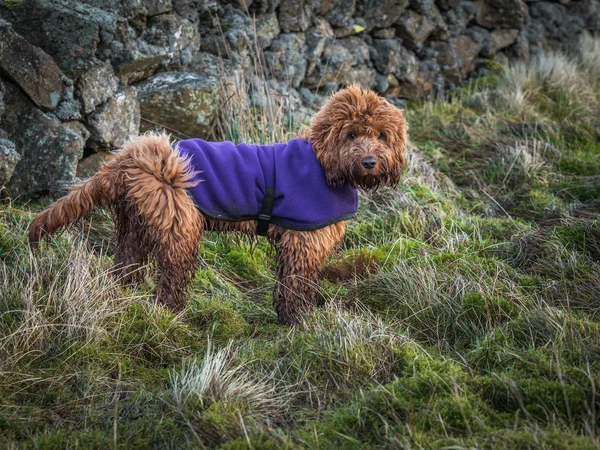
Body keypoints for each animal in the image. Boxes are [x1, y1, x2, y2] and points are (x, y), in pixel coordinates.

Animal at [28, 85, 408, 324]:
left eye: (381, 135)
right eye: (352, 134)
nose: (370, 162)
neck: (323, 163)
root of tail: (128, 157)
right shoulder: (302, 241)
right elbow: (295, 284)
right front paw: (297, 321)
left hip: (139, 223)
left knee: (126, 263)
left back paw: (126, 296)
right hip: (177, 221)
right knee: (170, 275)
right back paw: (170, 314)